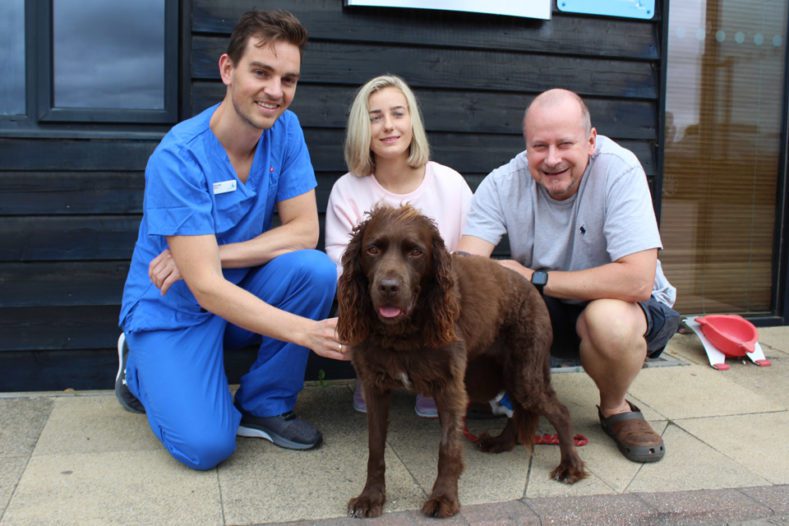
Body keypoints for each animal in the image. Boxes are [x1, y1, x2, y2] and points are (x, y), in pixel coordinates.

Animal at [338, 205, 584, 520]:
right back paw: (502, 442)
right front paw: (370, 497)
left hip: (524, 373)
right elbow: (375, 448)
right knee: (518, 408)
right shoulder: (375, 386)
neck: (403, 332)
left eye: (415, 252)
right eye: (372, 249)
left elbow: (448, 447)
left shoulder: (450, 388)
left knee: (558, 412)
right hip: (493, 375)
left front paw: (443, 498)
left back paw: (570, 466)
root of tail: (531, 287)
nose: (388, 287)